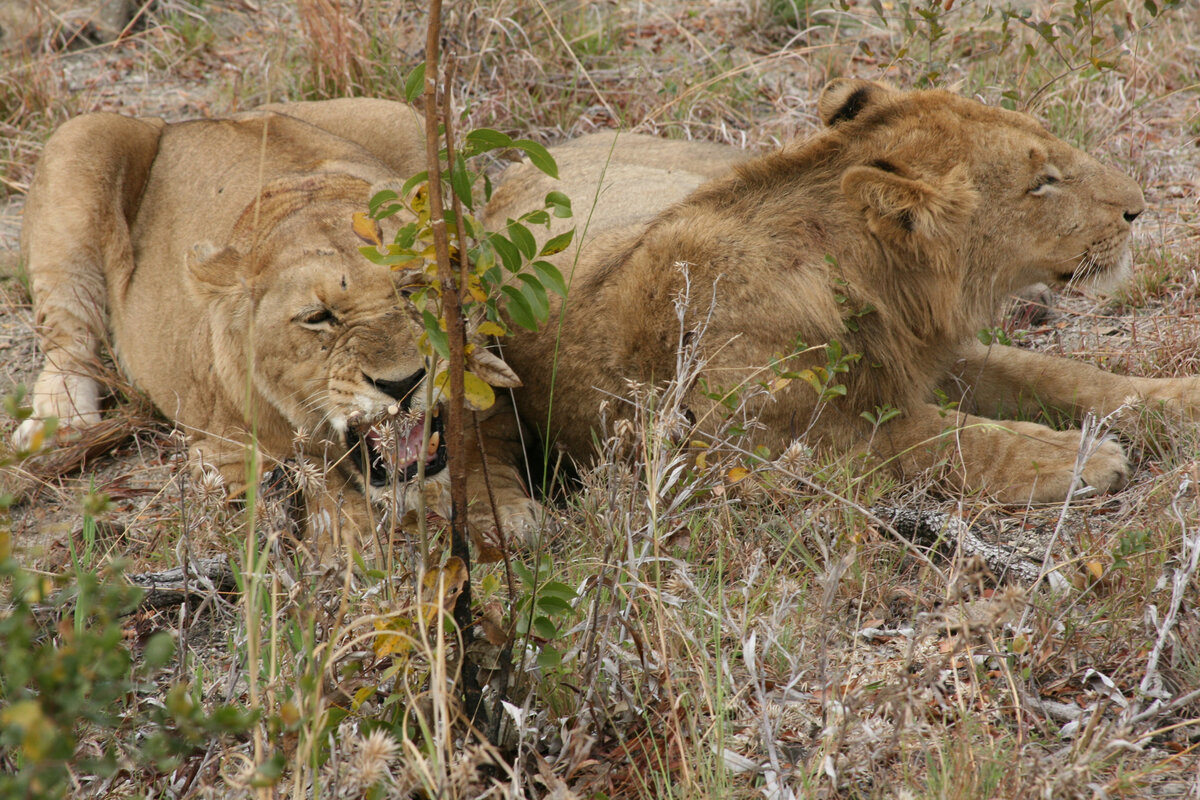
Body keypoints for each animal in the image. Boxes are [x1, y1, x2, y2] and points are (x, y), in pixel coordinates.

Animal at [12, 97, 540, 551]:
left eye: (414, 290)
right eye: (318, 319)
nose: (404, 383)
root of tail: (190, 122)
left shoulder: (490, 388)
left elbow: (484, 449)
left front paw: (504, 518)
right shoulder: (230, 448)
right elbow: (314, 478)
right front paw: (351, 546)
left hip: (398, 116)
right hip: (80, 139)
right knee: (67, 337)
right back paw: (60, 420)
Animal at [487, 76, 1200, 501]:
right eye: (1041, 183)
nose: (1139, 208)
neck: (879, 290)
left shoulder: (926, 355)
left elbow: (1062, 376)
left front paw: (1179, 400)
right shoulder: (775, 450)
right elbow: (943, 440)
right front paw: (1080, 456)